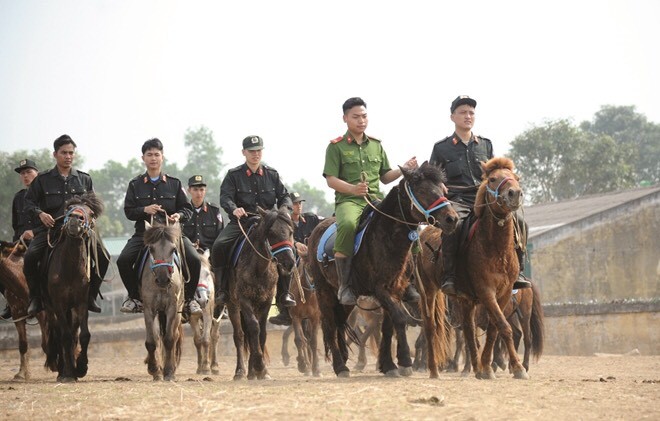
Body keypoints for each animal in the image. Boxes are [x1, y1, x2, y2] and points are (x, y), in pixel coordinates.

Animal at [42, 193, 104, 380]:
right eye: (68, 208)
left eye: (91, 213)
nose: (76, 219)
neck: (69, 269)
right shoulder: (59, 304)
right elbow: (65, 336)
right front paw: (68, 373)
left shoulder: (81, 303)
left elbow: (83, 335)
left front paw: (81, 367)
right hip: (51, 310)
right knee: (59, 334)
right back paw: (63, 369)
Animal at [141, 220, 184, 380]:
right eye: (151, 249)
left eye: (173, 249)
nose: (163, 279)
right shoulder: (149, 309)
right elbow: (152, 341)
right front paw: (154, 369)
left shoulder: (172, 308)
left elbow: (169, 339)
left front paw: (169, 371)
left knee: (174, 336)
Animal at [229, 205, 296, 378]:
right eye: (271, 233)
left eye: (290, 231)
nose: (289, 262)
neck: (259, 268)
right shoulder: (244, 299)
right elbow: (254, 327)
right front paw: (259, 365)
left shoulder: (265, 301)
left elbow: (262, 332)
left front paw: (259, 369)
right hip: (232, 305)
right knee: (239, 335)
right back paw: (240, 371)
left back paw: (251, 371)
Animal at [306, 162, 456, 378]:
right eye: (422, 191)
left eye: (443, 190)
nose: (452, 219)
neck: (386, 237)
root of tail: (316, 231)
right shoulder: (380, 290)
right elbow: (399, 319)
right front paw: (404, 362)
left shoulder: (396, 290)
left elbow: (388, 327)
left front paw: (388, 365)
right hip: (323, 291)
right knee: (330, 325)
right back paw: (340, 366)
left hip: (347, 299)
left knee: (340, 322)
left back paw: (344, 358)